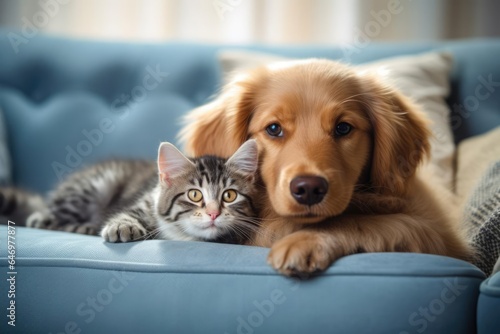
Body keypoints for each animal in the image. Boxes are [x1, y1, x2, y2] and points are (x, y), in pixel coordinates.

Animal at [2, 140, 262, 244]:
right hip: (96, 184)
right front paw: (122, 226)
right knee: (41, 217)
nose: (213, 213)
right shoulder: (146, 200)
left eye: (229, 195)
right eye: (195, 195)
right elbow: (131, 213)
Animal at [180, 58, 472, 276]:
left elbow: (360, 221)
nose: (309, 188)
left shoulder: (436, 233)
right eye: (273, 129)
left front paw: (304, 241)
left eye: (343, 128)